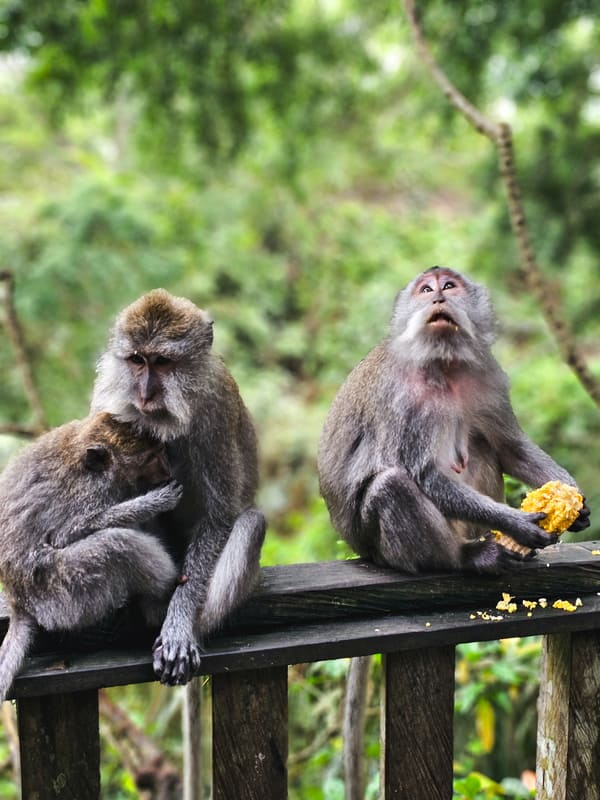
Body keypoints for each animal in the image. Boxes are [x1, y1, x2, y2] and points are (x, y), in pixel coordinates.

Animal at [0, 411, 183, 702]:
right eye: (151, 458)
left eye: (161, 452)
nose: (166, 471)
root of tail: (19, 601)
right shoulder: (90, 494)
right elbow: (65, 535)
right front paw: (152, 502)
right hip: (61, 592)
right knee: (117, 545)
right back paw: (163, 595)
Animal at [90, 289, 266, 685]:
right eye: (137, 360)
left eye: (163, 362)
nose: (144, 393)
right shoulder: (105, 400)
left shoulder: (214, 409)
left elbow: (219, 517)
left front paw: (180, 626)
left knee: (252, 524)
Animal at [317, 266, 590, 800]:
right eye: (426, 288)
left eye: (451, 285)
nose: (439, 294)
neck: (443, 366)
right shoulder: (404, 397)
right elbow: (421, 474)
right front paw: (518, 524)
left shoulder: (487, 375)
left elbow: (508, 446)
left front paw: (573, 502)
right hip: (383, 545)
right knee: (391, 484)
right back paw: (466, 558)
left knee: (480, 443)